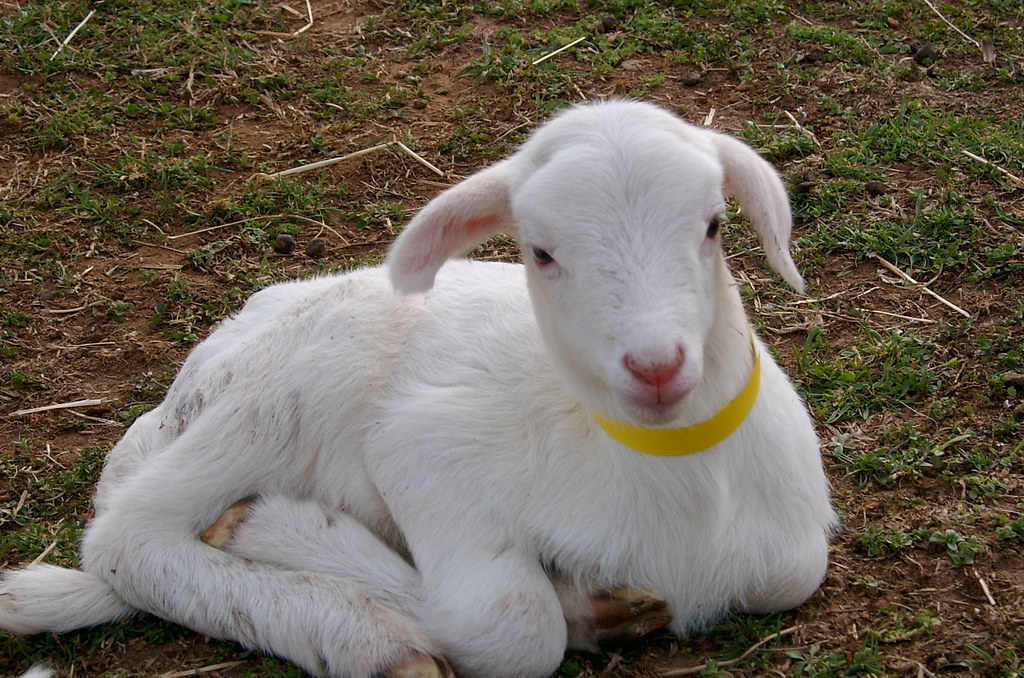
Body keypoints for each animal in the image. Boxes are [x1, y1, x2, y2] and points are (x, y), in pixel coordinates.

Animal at [0, 99, 837, 678]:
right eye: (541, 252)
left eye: (713, 225)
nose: (656, 365)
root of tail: (183, 390)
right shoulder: (423, 448)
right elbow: (511, 626)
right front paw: (278, 534)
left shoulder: (789, 558)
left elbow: (792, 574)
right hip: (291, 386)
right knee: (128, 539)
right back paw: (364, 631)